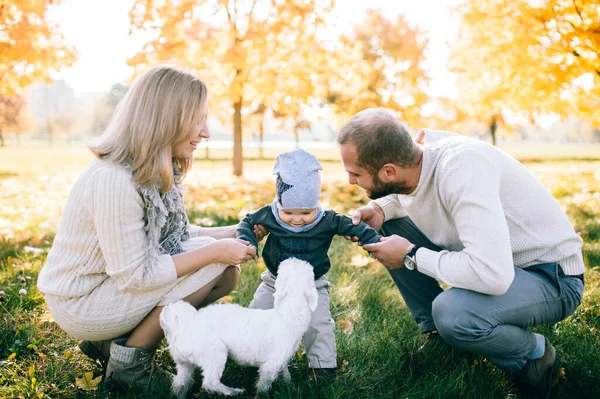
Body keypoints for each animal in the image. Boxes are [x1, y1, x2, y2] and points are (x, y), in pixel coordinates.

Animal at [159, 258, 318, 398]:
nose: (290, 257)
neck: (288, 312)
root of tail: (185, 324)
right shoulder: (270, 366)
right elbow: (264, 385)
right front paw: (262, 395)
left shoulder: (281, 360)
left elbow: (285, 374)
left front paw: (291, 387)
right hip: (214, 352)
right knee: (210, 382)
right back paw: (233, 392)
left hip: (185, 363)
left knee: (180, 382)